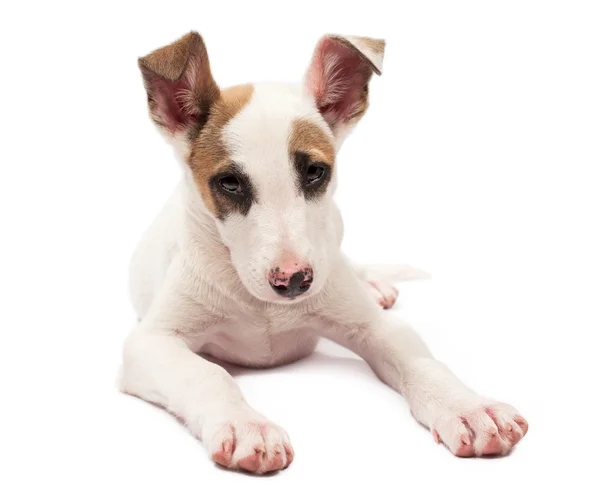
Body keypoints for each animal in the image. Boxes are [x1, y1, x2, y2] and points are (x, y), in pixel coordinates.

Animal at [119, 32, 528, 474]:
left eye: (315, 172)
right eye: (229, 183)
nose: (294, 281)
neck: (260, 305)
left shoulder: (376, 327)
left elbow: (423, 364)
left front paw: (468, 408)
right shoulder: (152, 342)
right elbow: (207, 375)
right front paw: (246, 425)